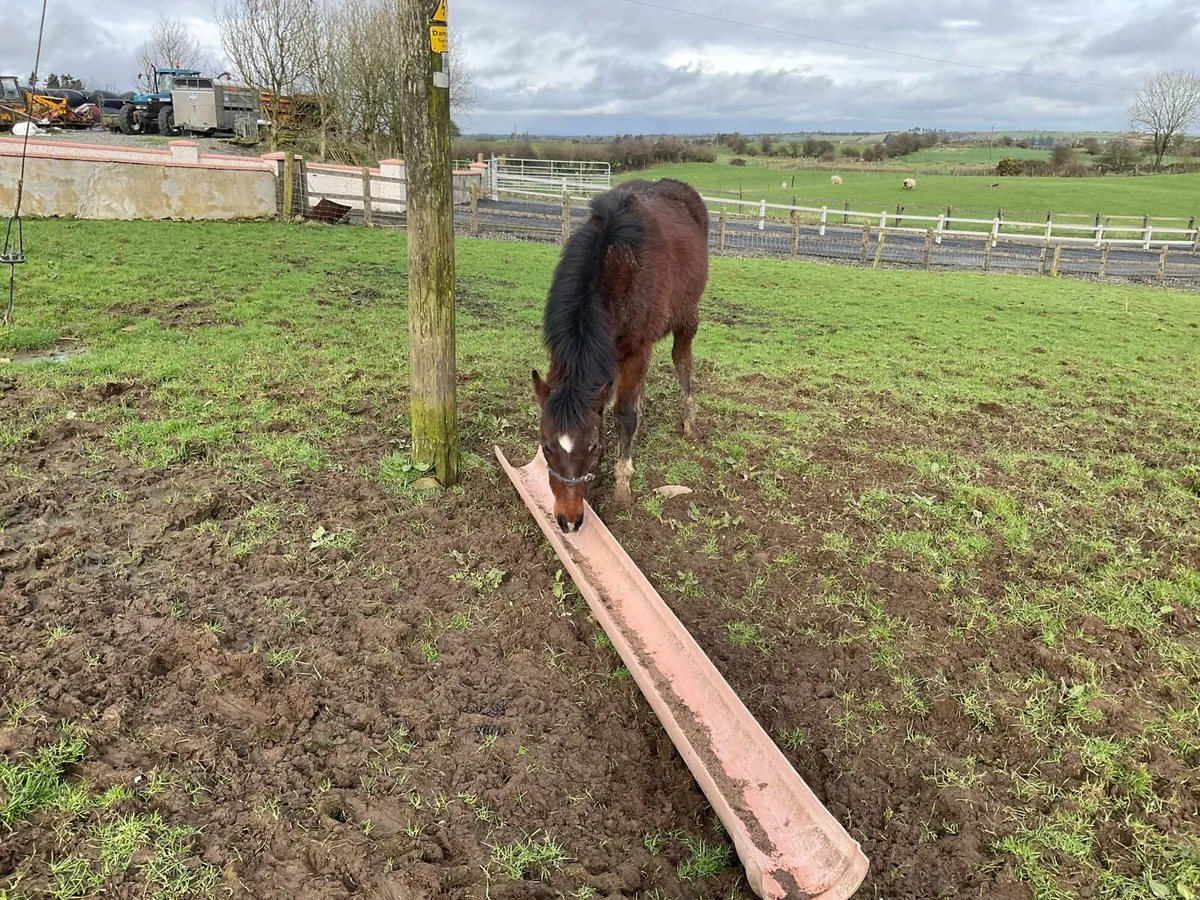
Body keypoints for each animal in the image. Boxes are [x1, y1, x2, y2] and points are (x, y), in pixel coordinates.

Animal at [532, 178, 709, 533]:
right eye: (546, 446)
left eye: (591, 446)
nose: (568, 520)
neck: (614, 263)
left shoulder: (636, 348)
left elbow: (625, 413)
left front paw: (622, 483)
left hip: (687, 316)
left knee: (683, 363)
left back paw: (689, 423)